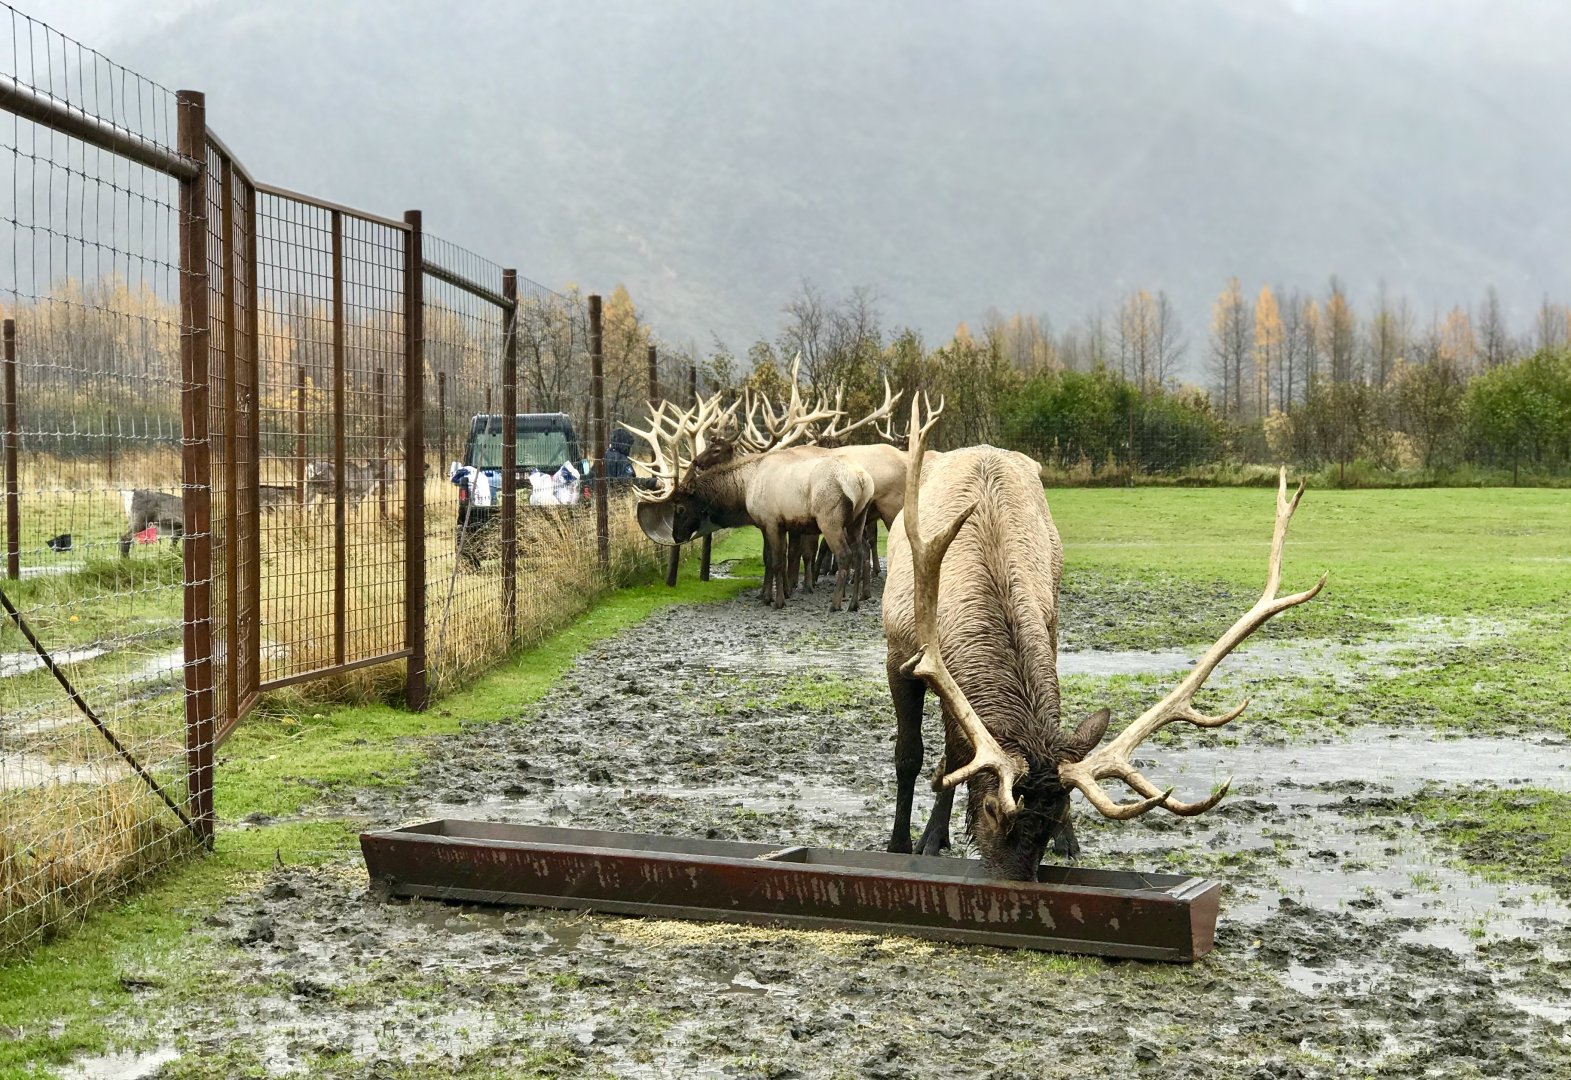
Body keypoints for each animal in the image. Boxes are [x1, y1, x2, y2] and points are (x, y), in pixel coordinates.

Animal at [883, 395, 1324, 880]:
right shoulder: (900, 651)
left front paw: (1068, 839)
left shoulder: (1048, 628)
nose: (1015, 883)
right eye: (992, 810)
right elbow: (912, 755)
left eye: (1054, 816)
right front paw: (905, 844)